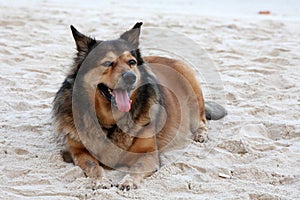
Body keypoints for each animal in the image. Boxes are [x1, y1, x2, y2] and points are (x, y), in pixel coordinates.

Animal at [52, 22, 226, 191]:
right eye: (107, 63)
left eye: (132, 62)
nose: (131, 77)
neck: (111, 120)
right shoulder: (78, 151)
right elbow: (93, 166)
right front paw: (101, 181)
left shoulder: (148, 154)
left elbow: (137, 167)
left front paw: (128, 182)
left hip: (193, 94)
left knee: (202, 120)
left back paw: (200, 134)